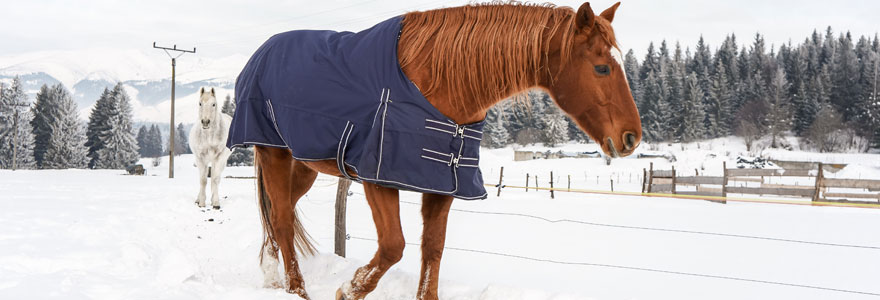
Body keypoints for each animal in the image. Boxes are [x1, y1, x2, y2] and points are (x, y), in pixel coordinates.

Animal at [248, 2, 640, 300]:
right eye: (601, 67)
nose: (631, 137)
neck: (436, 83)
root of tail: (263, 52)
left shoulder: (443, 184)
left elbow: (432, 248)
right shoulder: (378, 177)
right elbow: (393, 246)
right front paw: (349, 289)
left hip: (305, 164)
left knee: (279, 214)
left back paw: (270, 275)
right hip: (273, 153)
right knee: (281, 219)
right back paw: (295, 288)